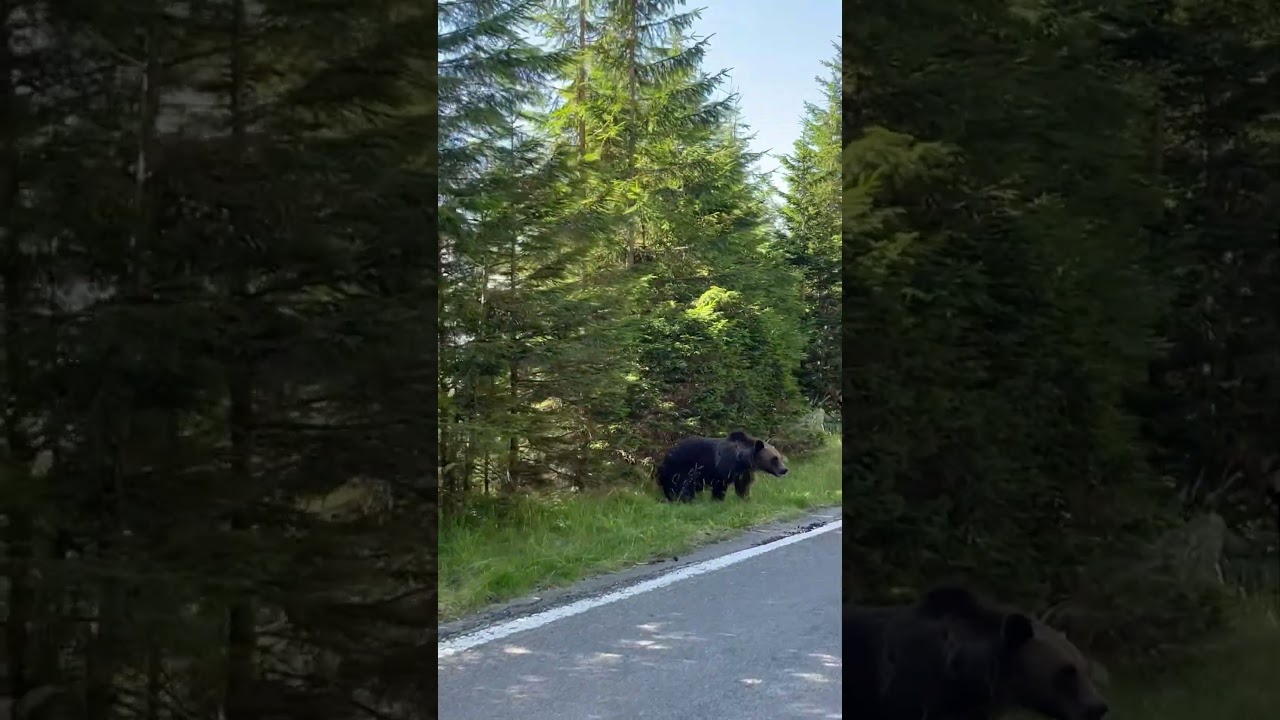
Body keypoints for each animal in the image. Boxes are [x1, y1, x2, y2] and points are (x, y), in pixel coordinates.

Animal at [656, 430, 787, 502]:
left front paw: (745, 498)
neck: (742, 460)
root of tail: (666, 454)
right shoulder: (723, 468)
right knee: (680, 486)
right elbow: (720, 486)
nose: (784, 470)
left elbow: (743, 485)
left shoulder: (743, 472)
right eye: (774, 459)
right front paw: (717, 500)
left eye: (779, 457)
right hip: (681, 468)